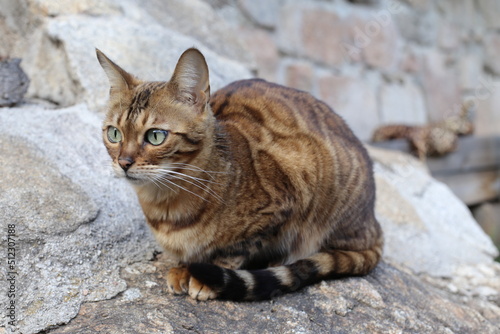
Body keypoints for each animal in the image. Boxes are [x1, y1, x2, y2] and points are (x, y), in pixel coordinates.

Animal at [96, 47, 382, 300]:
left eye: (156, 136)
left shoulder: (284, 201)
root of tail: (373, 222)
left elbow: (234, 250)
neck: (166, 205)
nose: (124, 162)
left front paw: (203, 276)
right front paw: (182, 267)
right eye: (114, 133)